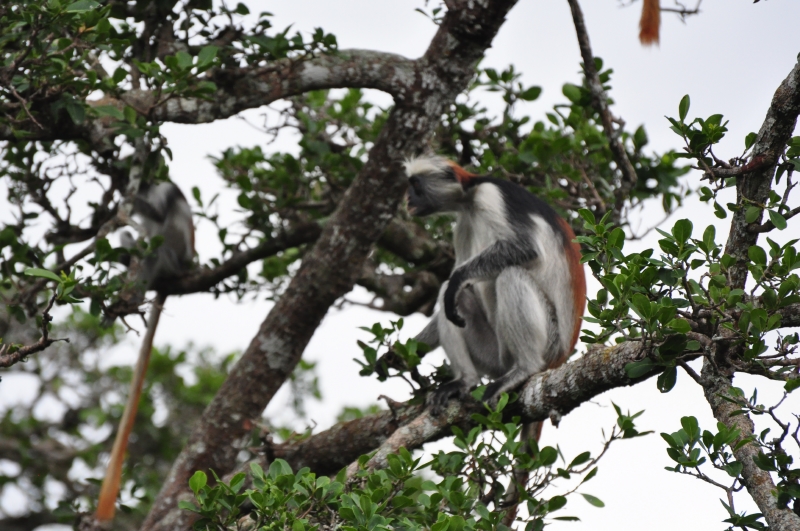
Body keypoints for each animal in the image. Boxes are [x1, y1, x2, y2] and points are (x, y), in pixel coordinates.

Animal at [96, 181, 194, 523]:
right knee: (133, 239)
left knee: (155, 251)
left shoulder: (165, 187)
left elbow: (160, 214)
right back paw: (127, 263)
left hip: (172, 262)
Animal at [404, 155, 586, 411]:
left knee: (509, 276)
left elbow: (527, 248)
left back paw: (525, 368)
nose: (408, 199)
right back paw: (466, 380)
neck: (470, 196)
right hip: (493, 355)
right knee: (454, 296)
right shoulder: (464, 222)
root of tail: (562, 355)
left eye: (416, 185)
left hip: (550, 341)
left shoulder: (491, 194)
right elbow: (459, 285)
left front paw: (458, 277)